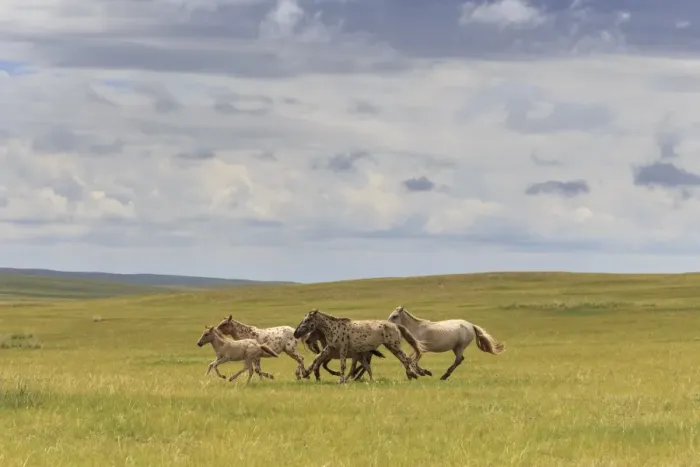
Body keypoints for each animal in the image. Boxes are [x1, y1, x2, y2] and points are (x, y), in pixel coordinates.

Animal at [292, 309, 432, 383]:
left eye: (307, 320)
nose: (296, 333)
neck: (333, 328)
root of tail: (395, 325)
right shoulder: (330, 348)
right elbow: (317, 358)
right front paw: (305, 373)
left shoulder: (342, 348)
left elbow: (342, 365)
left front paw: (341, 380)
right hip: (391, 347)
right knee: (405, 359)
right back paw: (413, 374)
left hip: (393, 346)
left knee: (406, 358)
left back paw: (413, 374)